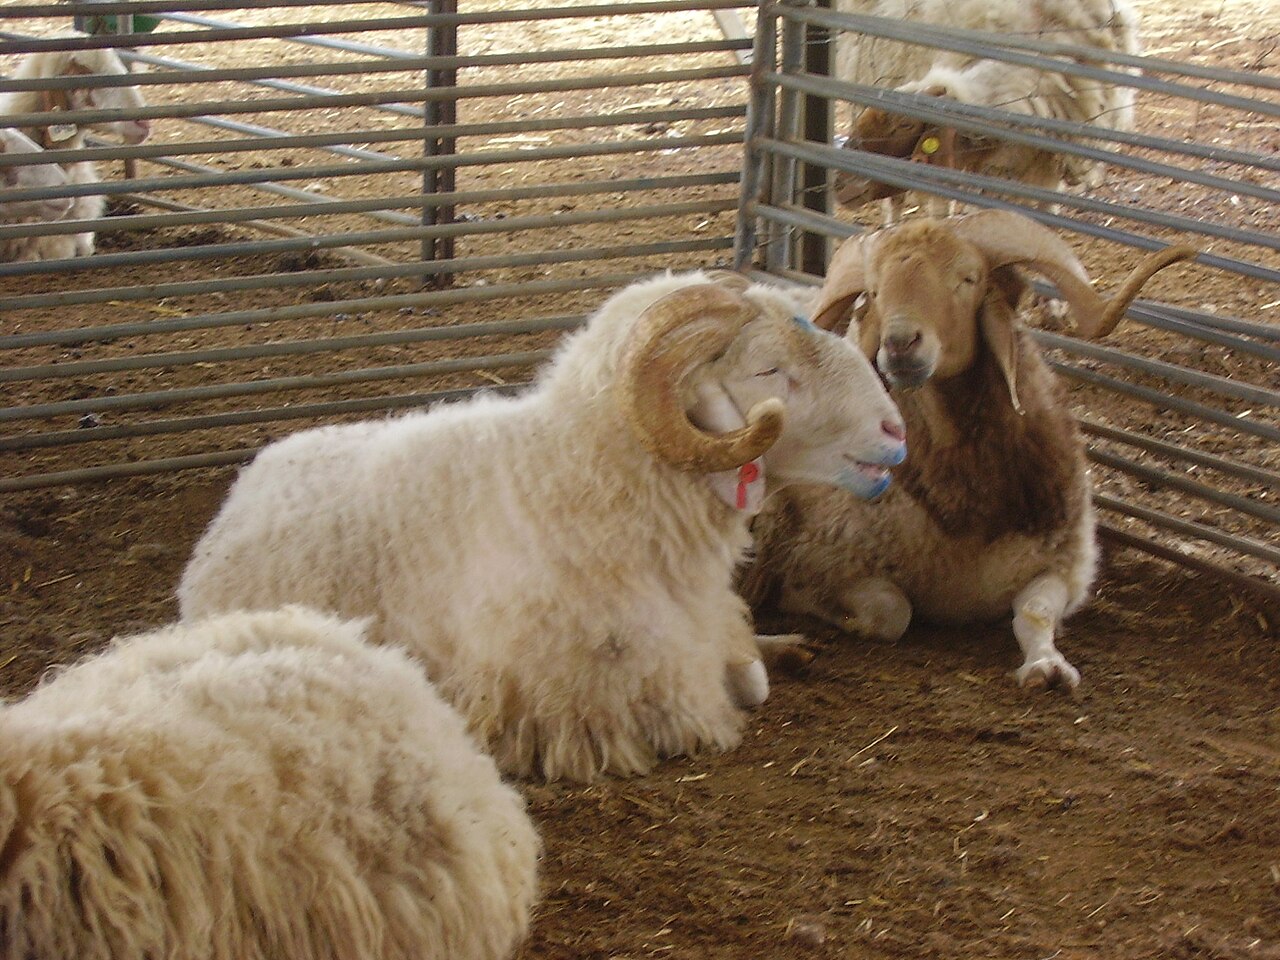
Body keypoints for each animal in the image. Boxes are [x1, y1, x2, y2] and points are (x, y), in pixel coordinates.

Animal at [177, 268, 911, 783]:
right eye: (768, 369)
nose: (895, 432)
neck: (567, 476)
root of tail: (250, 480)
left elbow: (747, 674)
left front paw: (771, 652)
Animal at [747, 211, 1192, 691]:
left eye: (968, 278)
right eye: (874, 290)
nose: (899, 343)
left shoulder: (1065, 565)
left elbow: (1034, 613)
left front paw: (1048, 666)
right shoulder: (822, 553)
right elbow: (891, 613)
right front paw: (811, 604)